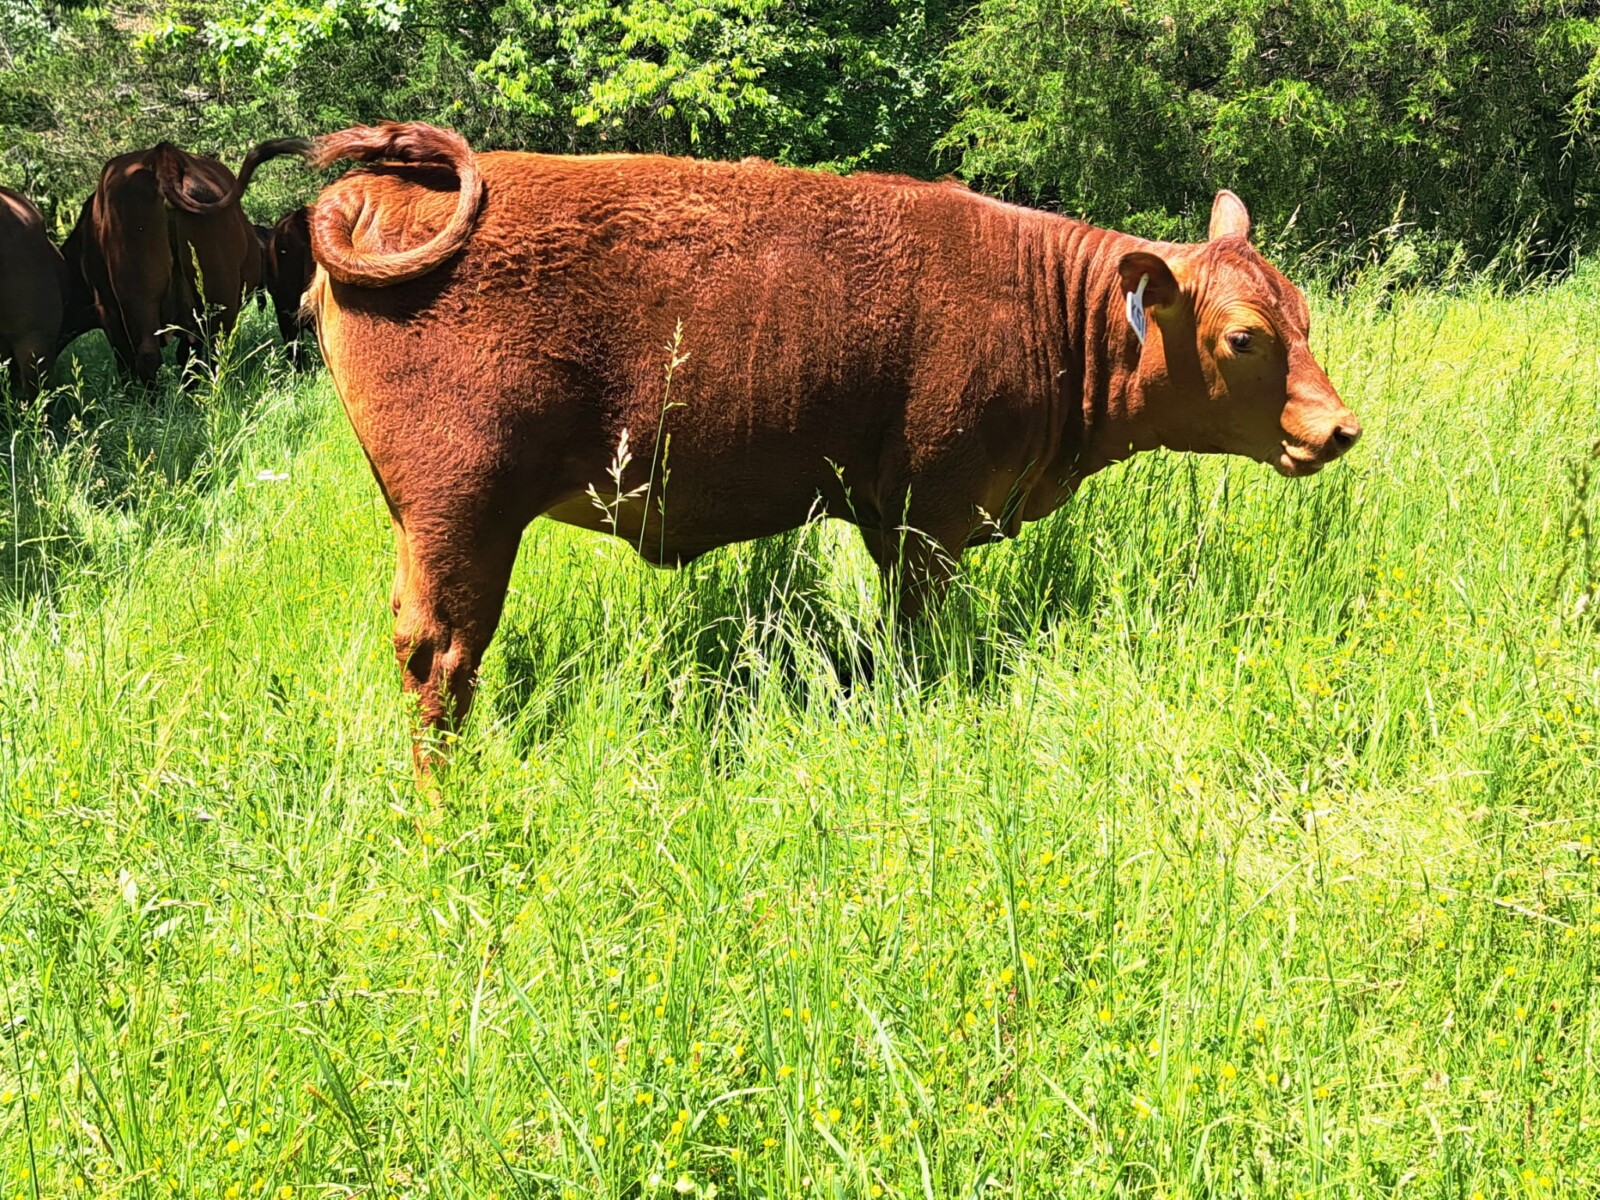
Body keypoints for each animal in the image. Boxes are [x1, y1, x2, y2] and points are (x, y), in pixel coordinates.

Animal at [303, 122, 1362, 762]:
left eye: (1303, 313)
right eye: (1244, 337)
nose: (1338, 427)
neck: (1044, 302)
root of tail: (377, 189)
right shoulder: (930, 516)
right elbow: (916, 635)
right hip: (463, 511)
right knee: (440, 655)